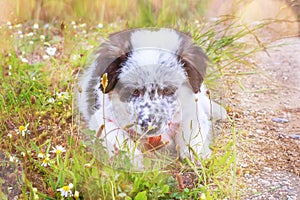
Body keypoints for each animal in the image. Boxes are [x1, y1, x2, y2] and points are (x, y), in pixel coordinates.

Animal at [77, 27, 225, 169]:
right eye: (135, 91)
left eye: (167, 90)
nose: (151, 126)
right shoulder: (100, 118)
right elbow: (117, 136)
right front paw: (132, 160)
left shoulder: (190, 109)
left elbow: (192, 130)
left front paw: (194, 153)